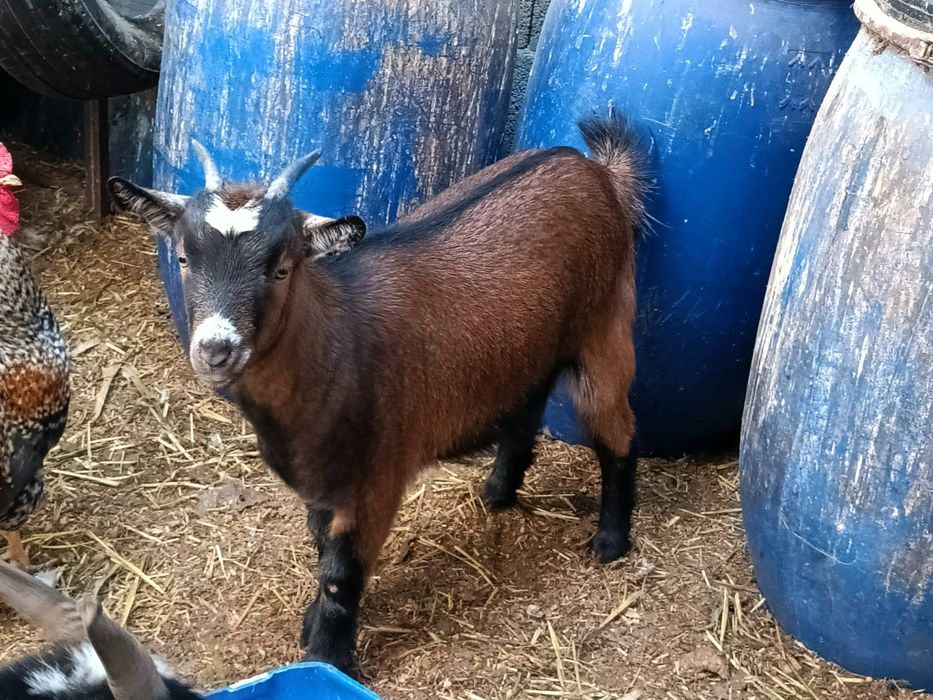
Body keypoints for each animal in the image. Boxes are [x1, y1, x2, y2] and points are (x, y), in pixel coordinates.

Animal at [108, 112, 648, 674]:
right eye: (184, 259)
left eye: (281, 268)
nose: (216, 349)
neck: (337, 343)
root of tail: (591, 167)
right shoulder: (323, 480)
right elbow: (320, 548)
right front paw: (312, 626)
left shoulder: (375, 481)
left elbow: (339, 573)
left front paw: (328, 656)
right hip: (530, 350)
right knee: (528, 405)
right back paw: (498, 492)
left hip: (606, 329)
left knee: (619, 433)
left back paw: (610, 541)